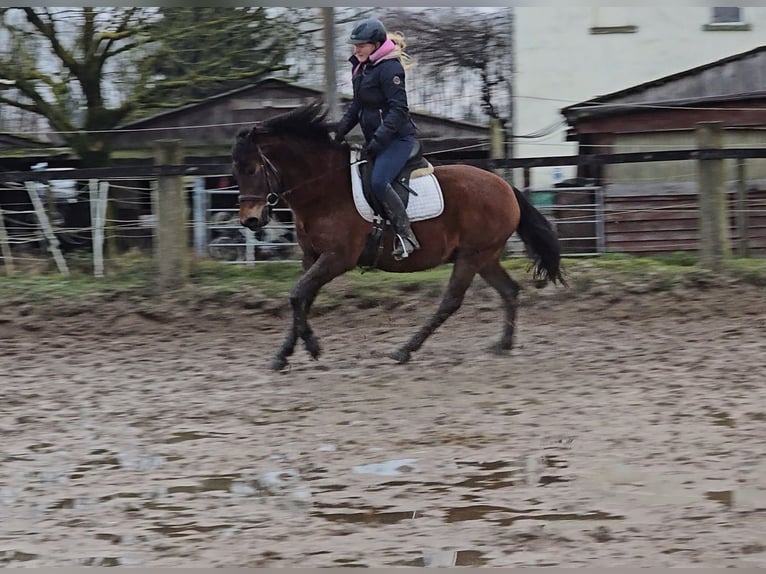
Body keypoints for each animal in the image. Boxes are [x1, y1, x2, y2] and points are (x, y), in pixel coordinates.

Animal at [231, 100, 568, 372]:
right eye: (235, 171)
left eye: (251, 169)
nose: (250, 220)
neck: (324, 188)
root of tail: (504, 186)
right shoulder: (311, 257)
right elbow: (301, 298)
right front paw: (283, 354)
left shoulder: (337, 258)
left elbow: (298, 294)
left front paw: (312, 346)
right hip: (485, 257)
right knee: (509, 291)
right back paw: (503, 344)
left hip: (472, 256)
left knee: (451, 301)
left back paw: (405, 350)